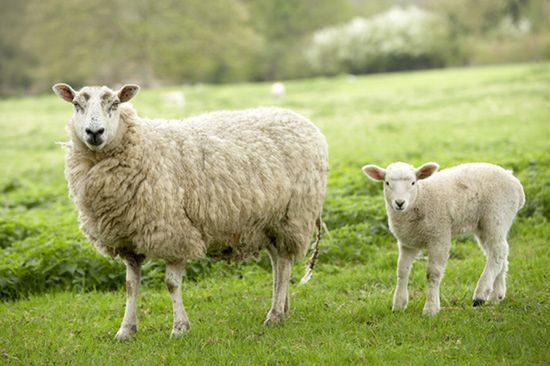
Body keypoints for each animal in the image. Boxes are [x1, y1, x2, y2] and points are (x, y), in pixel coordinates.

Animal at [51, 83, 330, 340]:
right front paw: (126, 330)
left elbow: (171, 284)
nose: (94, 132)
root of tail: (302, 120)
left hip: (292, 216)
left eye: (115, 104)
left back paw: (274, 315)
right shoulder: (127, 239)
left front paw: (179, 328)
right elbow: (130, 286)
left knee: (283, 263)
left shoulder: (175, 232)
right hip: (268, 220)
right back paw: (282, 307)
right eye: (76, 104)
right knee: (277, 263)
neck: (141, 145)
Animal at [362, 162, 528, 316]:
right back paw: (496, 295)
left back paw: (480, 294)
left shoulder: (439, 235)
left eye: (413, 183)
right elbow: (402, 271)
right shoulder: (407, 242)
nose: (399, 203)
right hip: (484, 224)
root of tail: (515, 182)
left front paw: (431, 309)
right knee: (498, 254)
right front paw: (398, 305)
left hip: (496, 215)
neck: (420, 198)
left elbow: (433, 274)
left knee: (498, 253)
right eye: (387, 183)